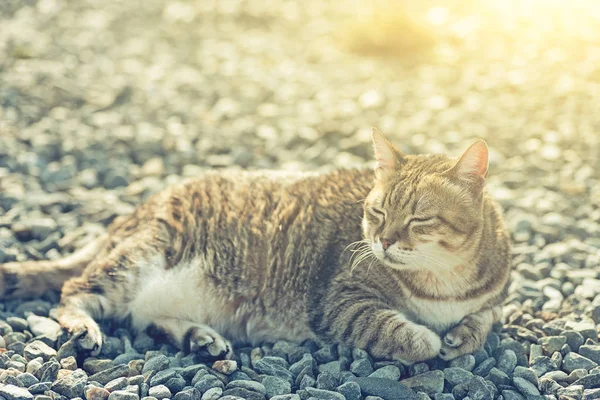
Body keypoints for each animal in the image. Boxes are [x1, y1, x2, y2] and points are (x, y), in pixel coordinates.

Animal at [0, 130, 510, 364]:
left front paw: (464, 335)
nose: (383, 240)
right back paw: (85, 326)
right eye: (379, 213)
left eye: (419, 219)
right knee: (73, 291)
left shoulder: (494, 297)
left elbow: (485, 317)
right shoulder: (341, 302)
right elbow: (401, 332)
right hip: (143, 255)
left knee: (145, 318)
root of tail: (135, 209)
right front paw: (430, 339)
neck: (442, 281)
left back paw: (198, 336)